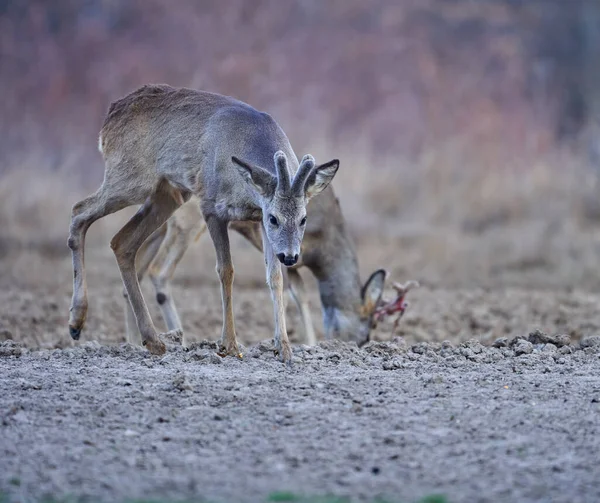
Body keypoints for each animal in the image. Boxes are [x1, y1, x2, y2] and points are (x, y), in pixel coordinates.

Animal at [68, 84, 340, 364]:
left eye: (303, 218)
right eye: (274, 217)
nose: (290, 256)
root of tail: (109, 118)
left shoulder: (257, 218)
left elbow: (275, 277)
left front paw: (284, 348)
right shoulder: (212, 206)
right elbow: (226, 271)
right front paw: (229, 345)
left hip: (168, 193)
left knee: (122, 242)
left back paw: (153, 341)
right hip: (131, 179)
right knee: (79, 211)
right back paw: (77, 321)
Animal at [123, 187, 386, 348]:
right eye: (368, 329)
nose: (351, 345)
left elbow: (297, 292)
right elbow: (292, 291)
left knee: (135, 265)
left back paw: (135, 343)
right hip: (186, 221)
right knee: (158, 270)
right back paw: (181, 340)